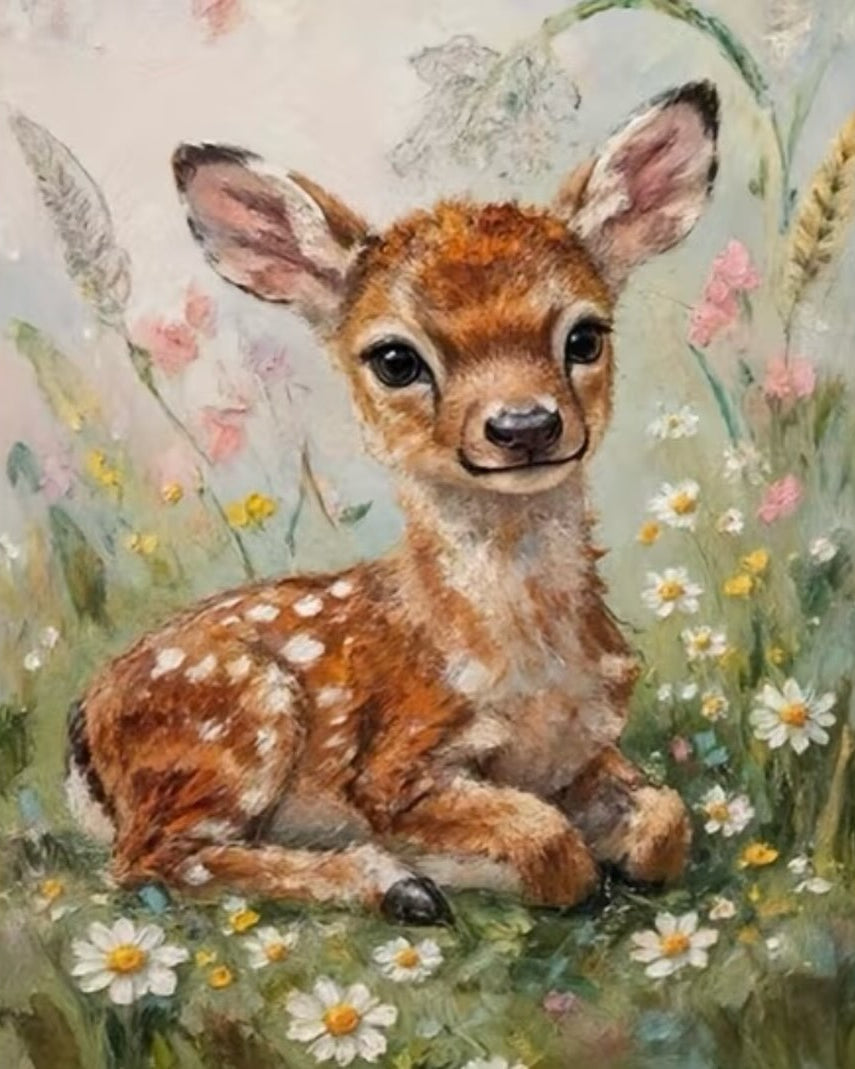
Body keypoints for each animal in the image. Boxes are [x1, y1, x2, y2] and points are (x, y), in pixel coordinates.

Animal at [66, 81, 719, 926]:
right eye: (395, 358)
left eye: (585, 335)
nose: (524, 425)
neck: (532, 675)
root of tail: (83, 732)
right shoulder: (393, 766)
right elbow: (551, 848)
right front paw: (471, 866)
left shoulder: (588, 748)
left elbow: (665, 821)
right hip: (235, 720)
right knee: (151, 858)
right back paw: (394, 883)